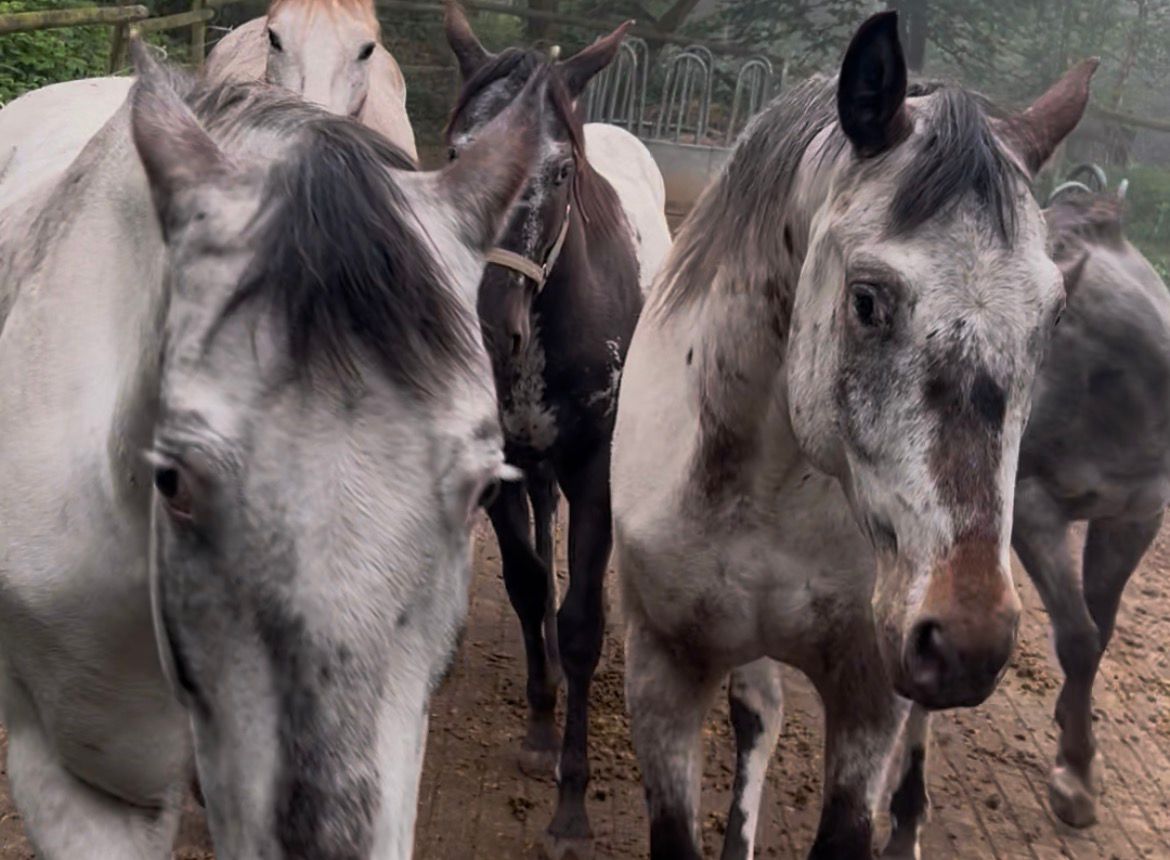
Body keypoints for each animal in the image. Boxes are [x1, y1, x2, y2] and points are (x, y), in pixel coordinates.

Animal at [442, 5, 668, 856]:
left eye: (561, 171)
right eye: (456, 152)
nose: (484, 324)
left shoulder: (595, 473)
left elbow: (579, 624)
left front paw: (572, 806)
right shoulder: (502, 458)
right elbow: (528, 581)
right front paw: (540, 728)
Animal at [610, 12, 1096, 859]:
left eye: (1054, 316)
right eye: (867, 299)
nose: (966, 641)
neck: (773, 491)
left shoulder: (871, 690)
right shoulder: (661, 671)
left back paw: (908, 819)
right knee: (760, 712)